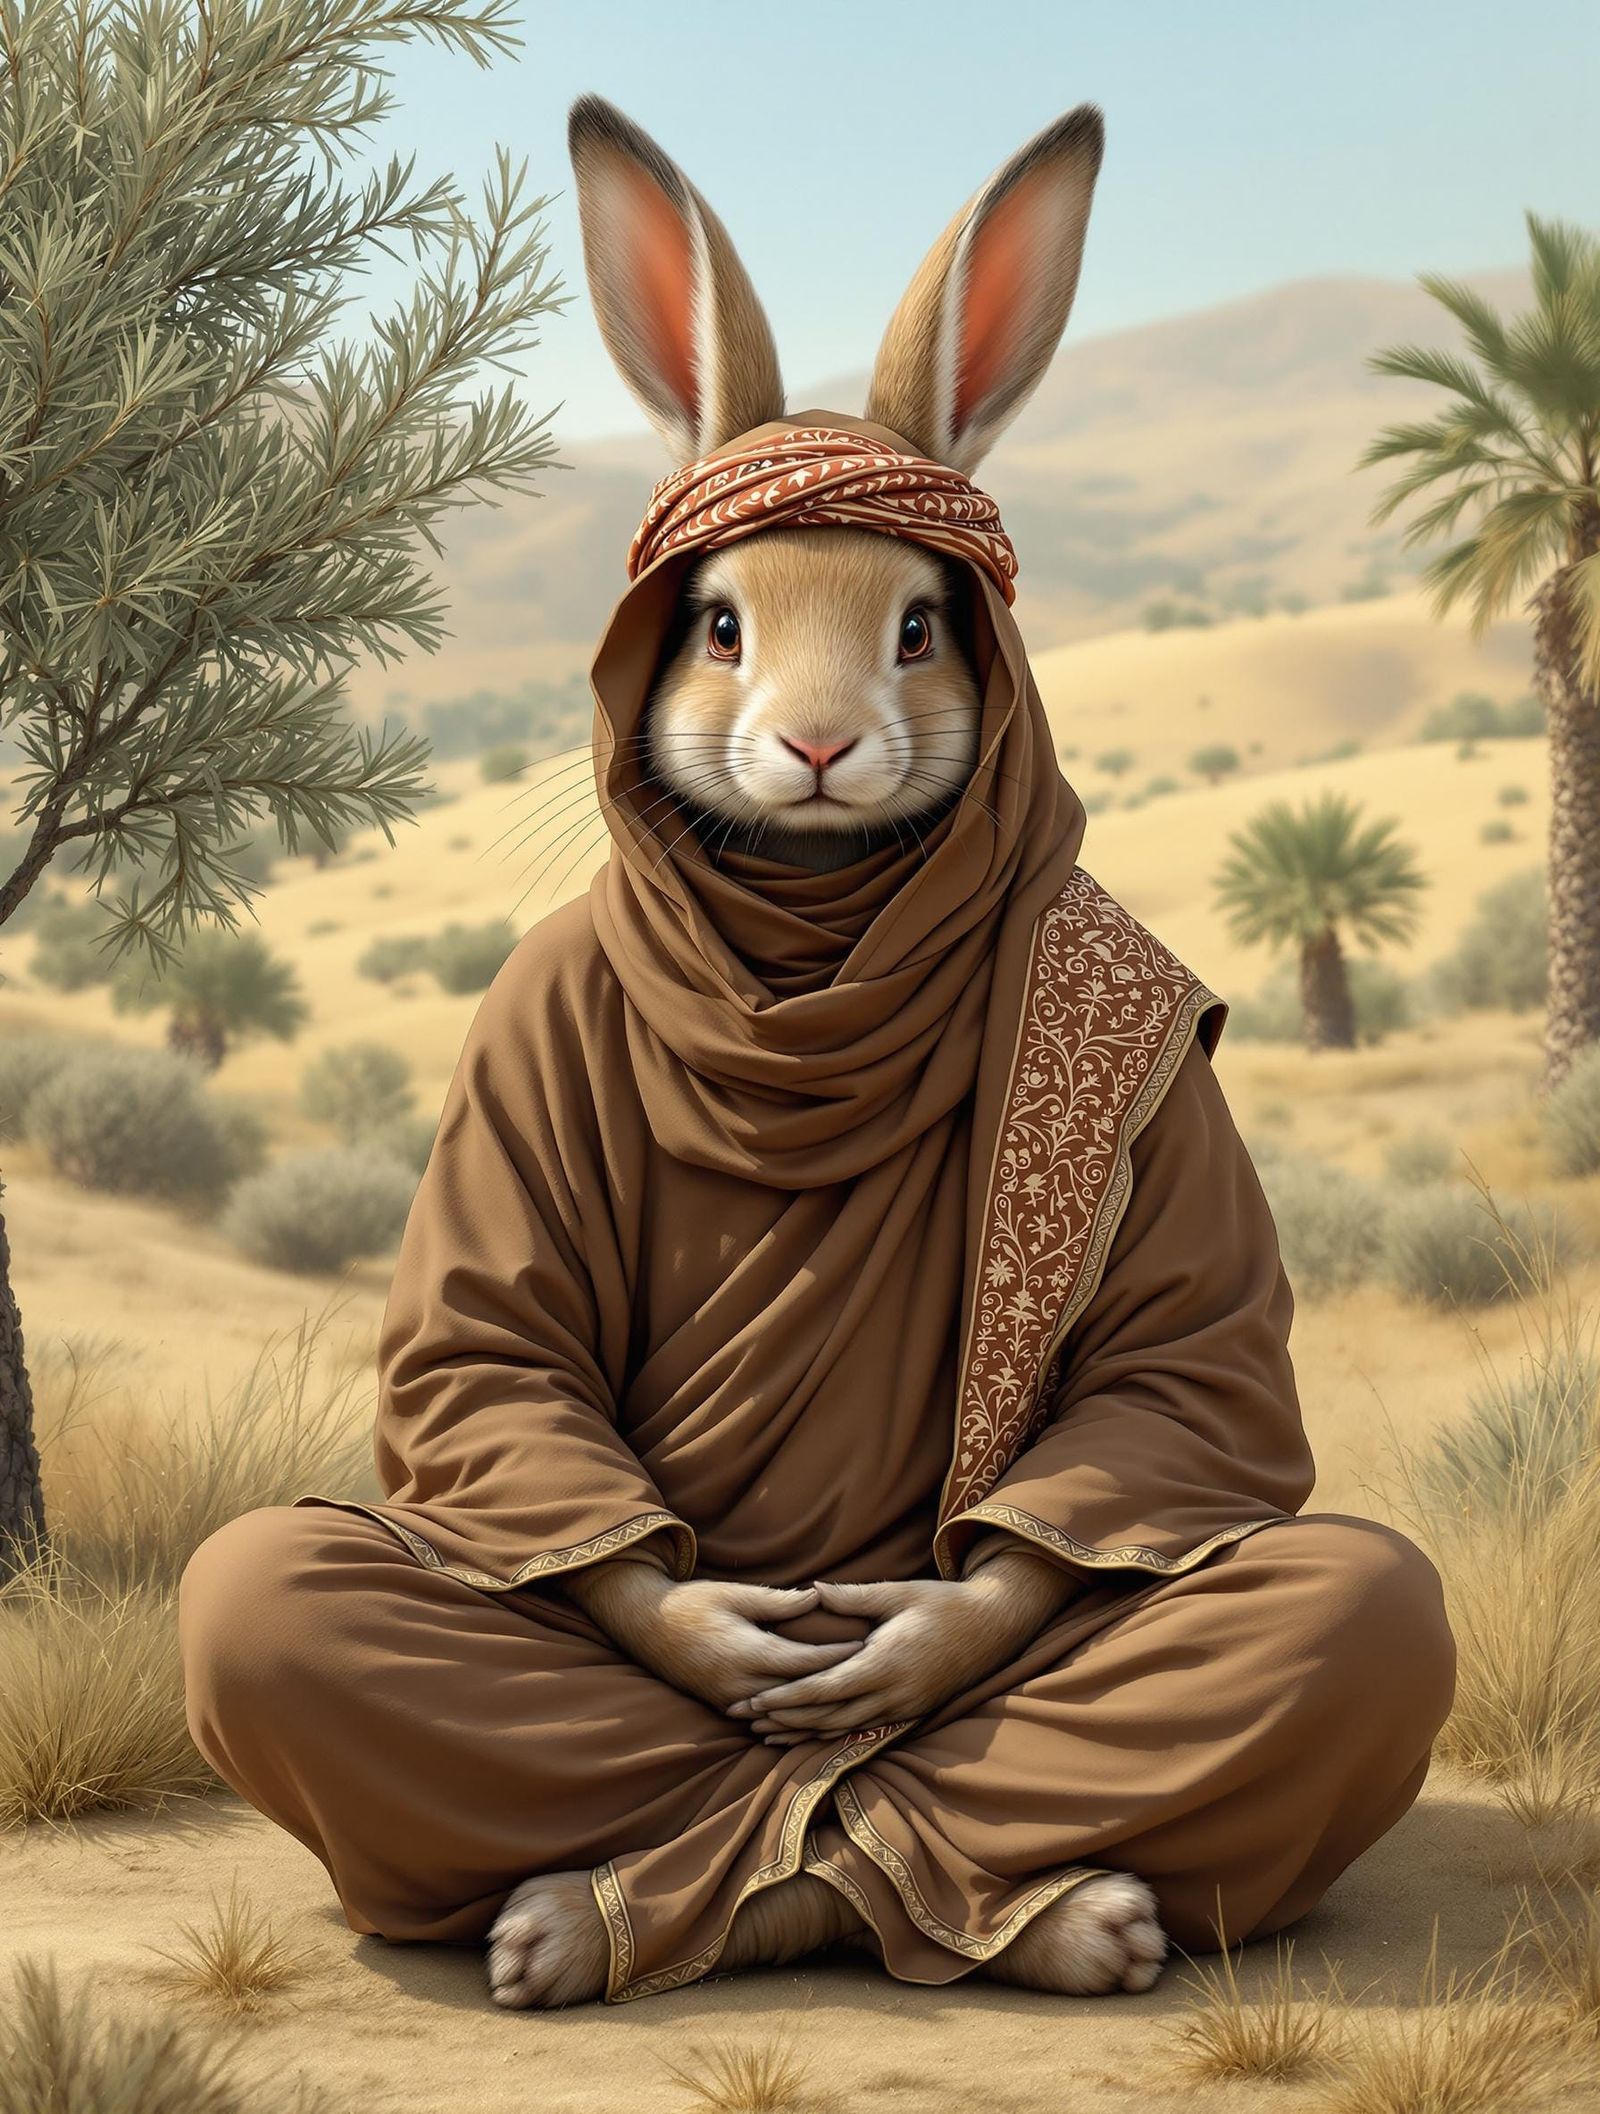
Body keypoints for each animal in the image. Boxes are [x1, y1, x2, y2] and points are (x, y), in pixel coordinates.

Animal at [483, 93, 1170, 2010]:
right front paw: (730, 1636)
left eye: (917, 625)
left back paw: (1070, 1918)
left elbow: (1173, 1396)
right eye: (720, 622)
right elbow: (496, 1375)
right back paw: (584, 1921)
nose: (812, 743)